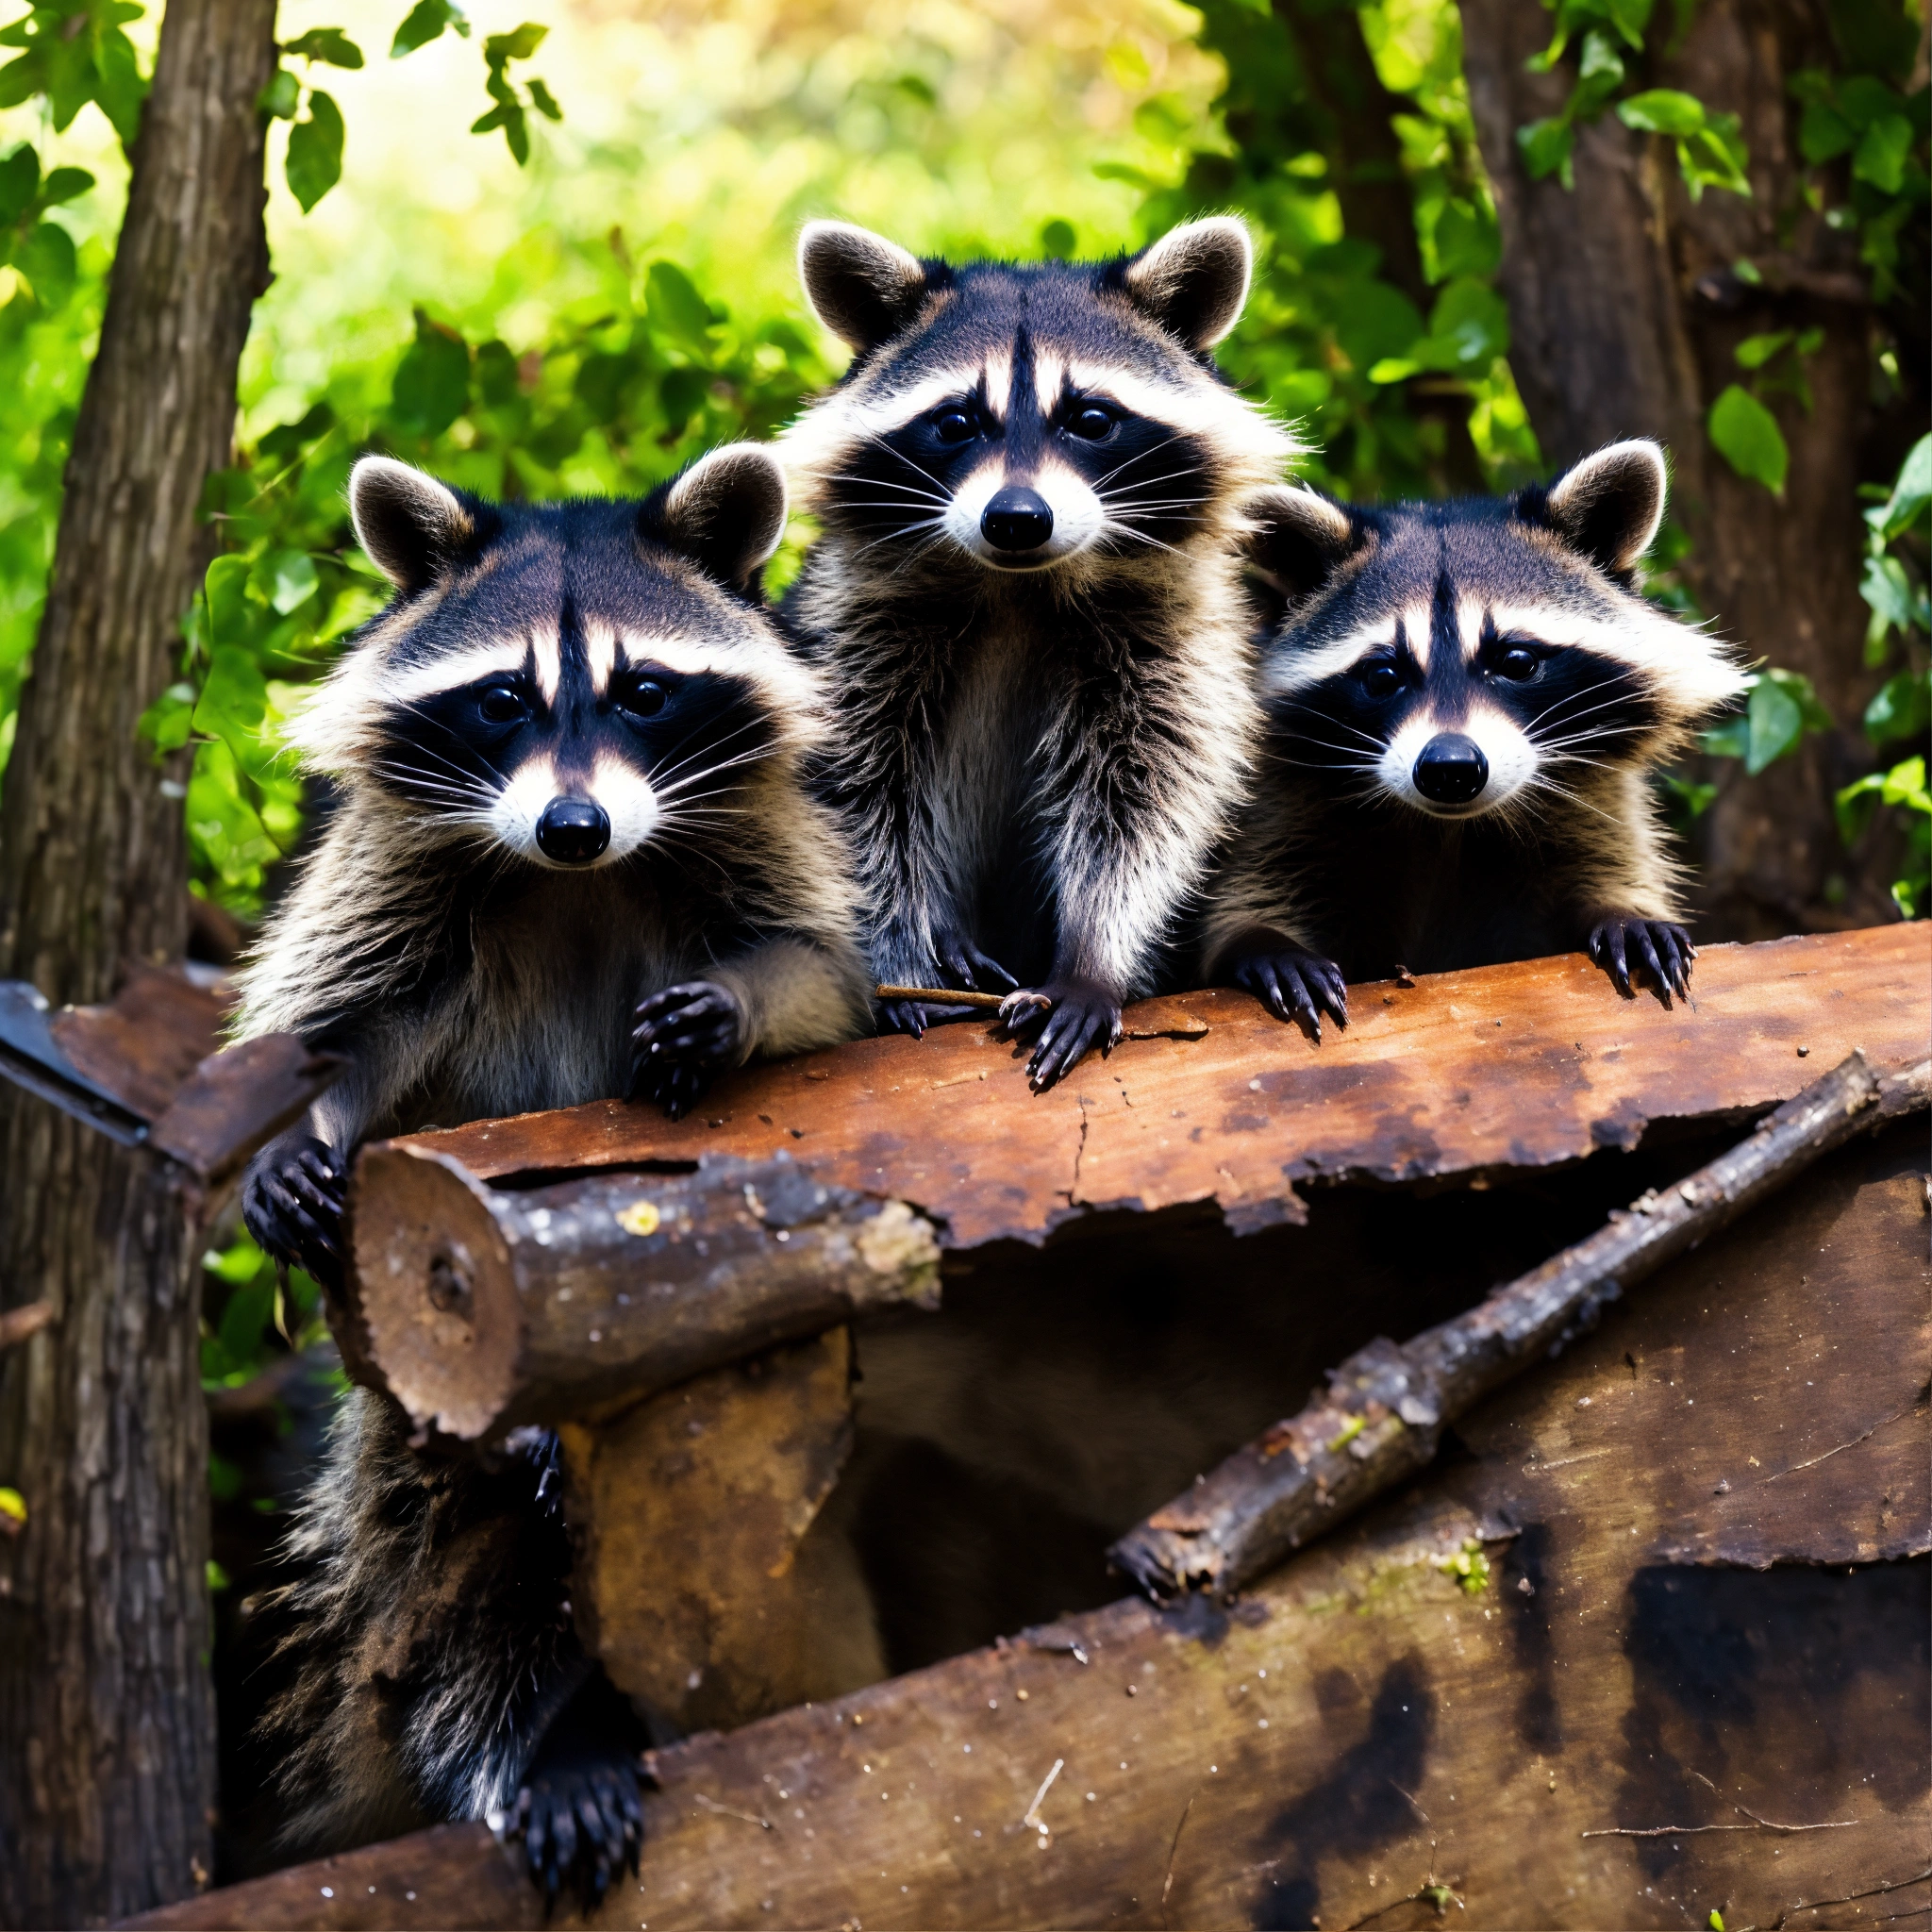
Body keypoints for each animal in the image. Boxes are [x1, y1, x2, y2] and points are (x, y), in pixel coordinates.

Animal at [233, 446, 869, 1903]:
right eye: (504, 698)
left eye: (643, 689)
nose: (574, 822)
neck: (577, 875)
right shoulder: (401, 866)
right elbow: (340, 1019)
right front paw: (301, 1130)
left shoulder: (759, 830)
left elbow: (823, 971)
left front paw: (737, 1006)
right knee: (477, 1574)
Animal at [781, 217, 1298, 1088]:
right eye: (956, 422)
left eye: (1089, 418)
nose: (1016, 518)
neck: (1017, 585)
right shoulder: (851, 626)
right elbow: (856, 794)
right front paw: (900, 958)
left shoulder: (1174, 635)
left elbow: (1149, 791)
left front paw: (1092, 956)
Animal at [1202, 440, 1750, 1028]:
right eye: (1383, 676)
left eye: (1515, 661)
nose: (1450, 769)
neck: (1452, 829)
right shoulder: (1280, 804)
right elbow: (1248, 892)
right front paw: (1263, 939)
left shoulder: (1597, 797)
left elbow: (1608, 862)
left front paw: (1623, 911)